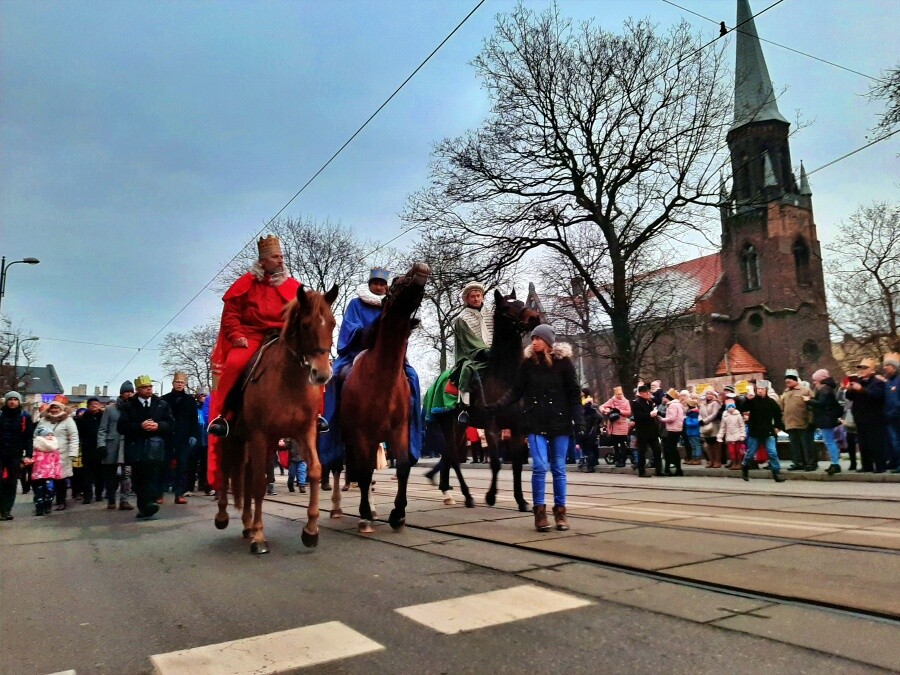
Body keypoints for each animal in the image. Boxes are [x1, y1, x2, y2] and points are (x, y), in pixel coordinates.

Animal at [214, 286, 338, 556]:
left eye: (333, 323)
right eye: (304, 325)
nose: (322, 374)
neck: (289, 382)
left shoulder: (305, 431)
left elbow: (314, 470)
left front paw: (310, 531)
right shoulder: (260, 434)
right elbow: (260, 484)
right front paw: (260, 536)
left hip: (257, 443)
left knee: (246, 476)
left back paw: (247, 524)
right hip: (233, 439)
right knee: (226, 471)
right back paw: (223, 517)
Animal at [328, 262, 430, 532]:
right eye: (395, 281)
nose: (422, 268)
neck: (383, 377)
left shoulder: (399, 431)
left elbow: (402, 467)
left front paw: (398, 514)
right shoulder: (362, 434)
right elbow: (362, 473)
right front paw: (364, 514)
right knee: (338, 468)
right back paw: (337, 509)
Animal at [436, 286, 540, 512]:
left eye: (522, 303)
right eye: (507, 307)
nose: (534, 317)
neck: (505, 379)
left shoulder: (517, 427)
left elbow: (517, 465)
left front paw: (522, 501)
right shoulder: (492, 426)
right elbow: (496, 463)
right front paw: (491, 496)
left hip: (460, 429)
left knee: (450, 456)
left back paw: (449, 493)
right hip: (448, 425)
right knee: (454, 459)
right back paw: (467, 496)